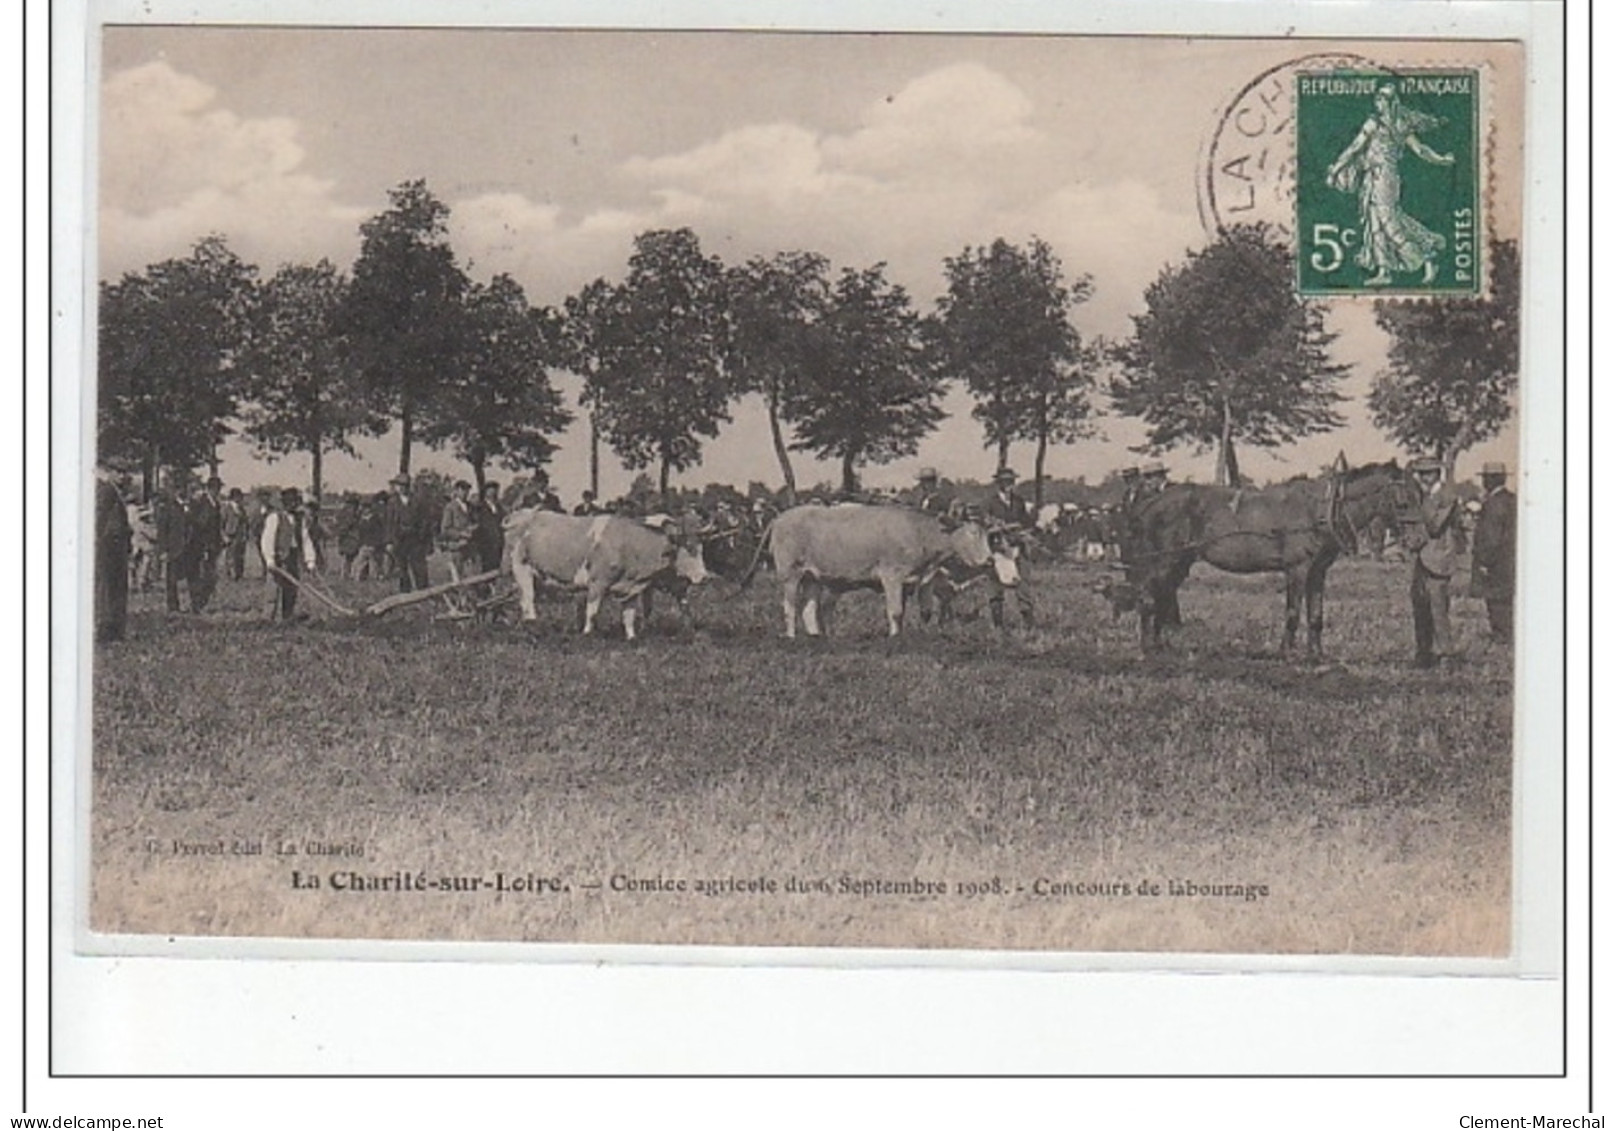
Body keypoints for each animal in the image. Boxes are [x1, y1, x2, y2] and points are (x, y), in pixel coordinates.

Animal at [1111, 458, 1414, 652]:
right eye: (1404, 499)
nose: (1413, 540)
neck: (1320, 509)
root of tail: (1150, 504)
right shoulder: (1297, 569)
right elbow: (1293, 612)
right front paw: (1287, 652)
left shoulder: (1318, 571)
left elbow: (1316, 615)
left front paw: (1316, 655)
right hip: (1163, 562)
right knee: (1149, 598)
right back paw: (1149, 647)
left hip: (1179, 563)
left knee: (1160, 597)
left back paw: (1159, 644)